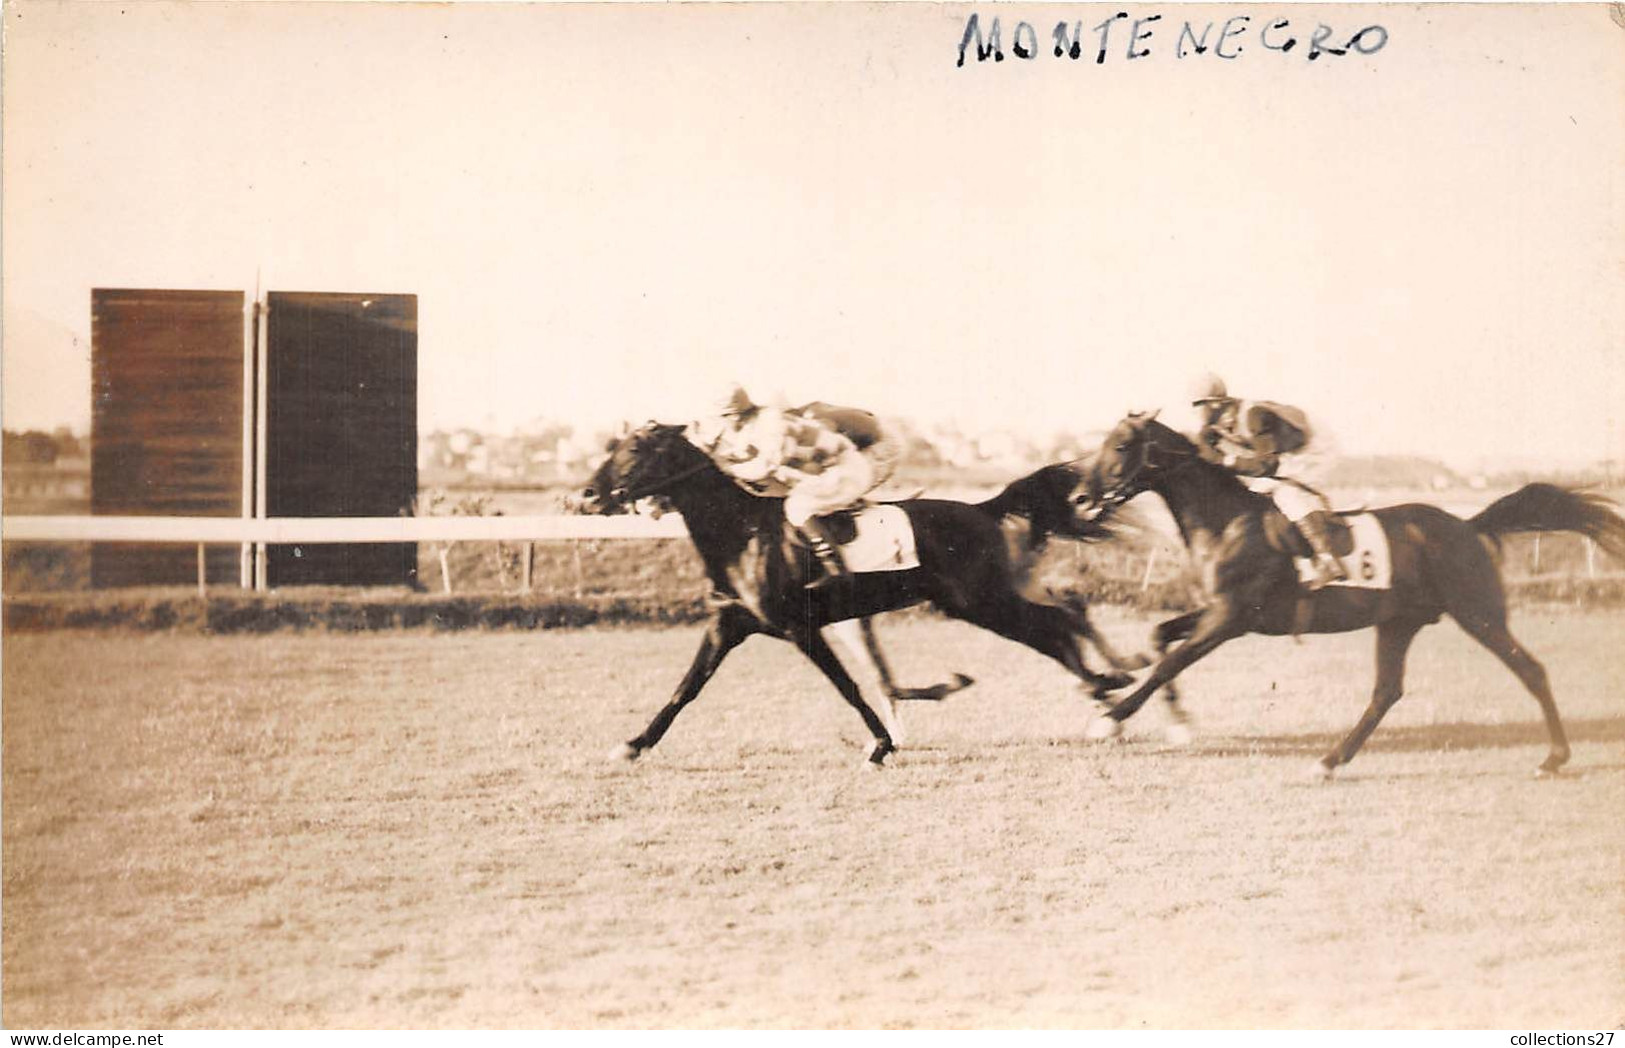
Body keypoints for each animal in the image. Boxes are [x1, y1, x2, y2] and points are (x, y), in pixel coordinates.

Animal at [1079, 409, 1625, 776]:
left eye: (1121, 446)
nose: (1081, 497)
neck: (1227, 523)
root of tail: (1468, 525)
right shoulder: (1218, 611)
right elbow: (1160, 640)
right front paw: (1171, 719)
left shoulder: (1231, 618)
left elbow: (1171, 660)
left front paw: (1109, 719)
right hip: (1400, 621)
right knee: (1387, 691)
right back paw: (1330, 760)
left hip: (1478, 612)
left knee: (1530, 670)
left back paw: (1554, 757)